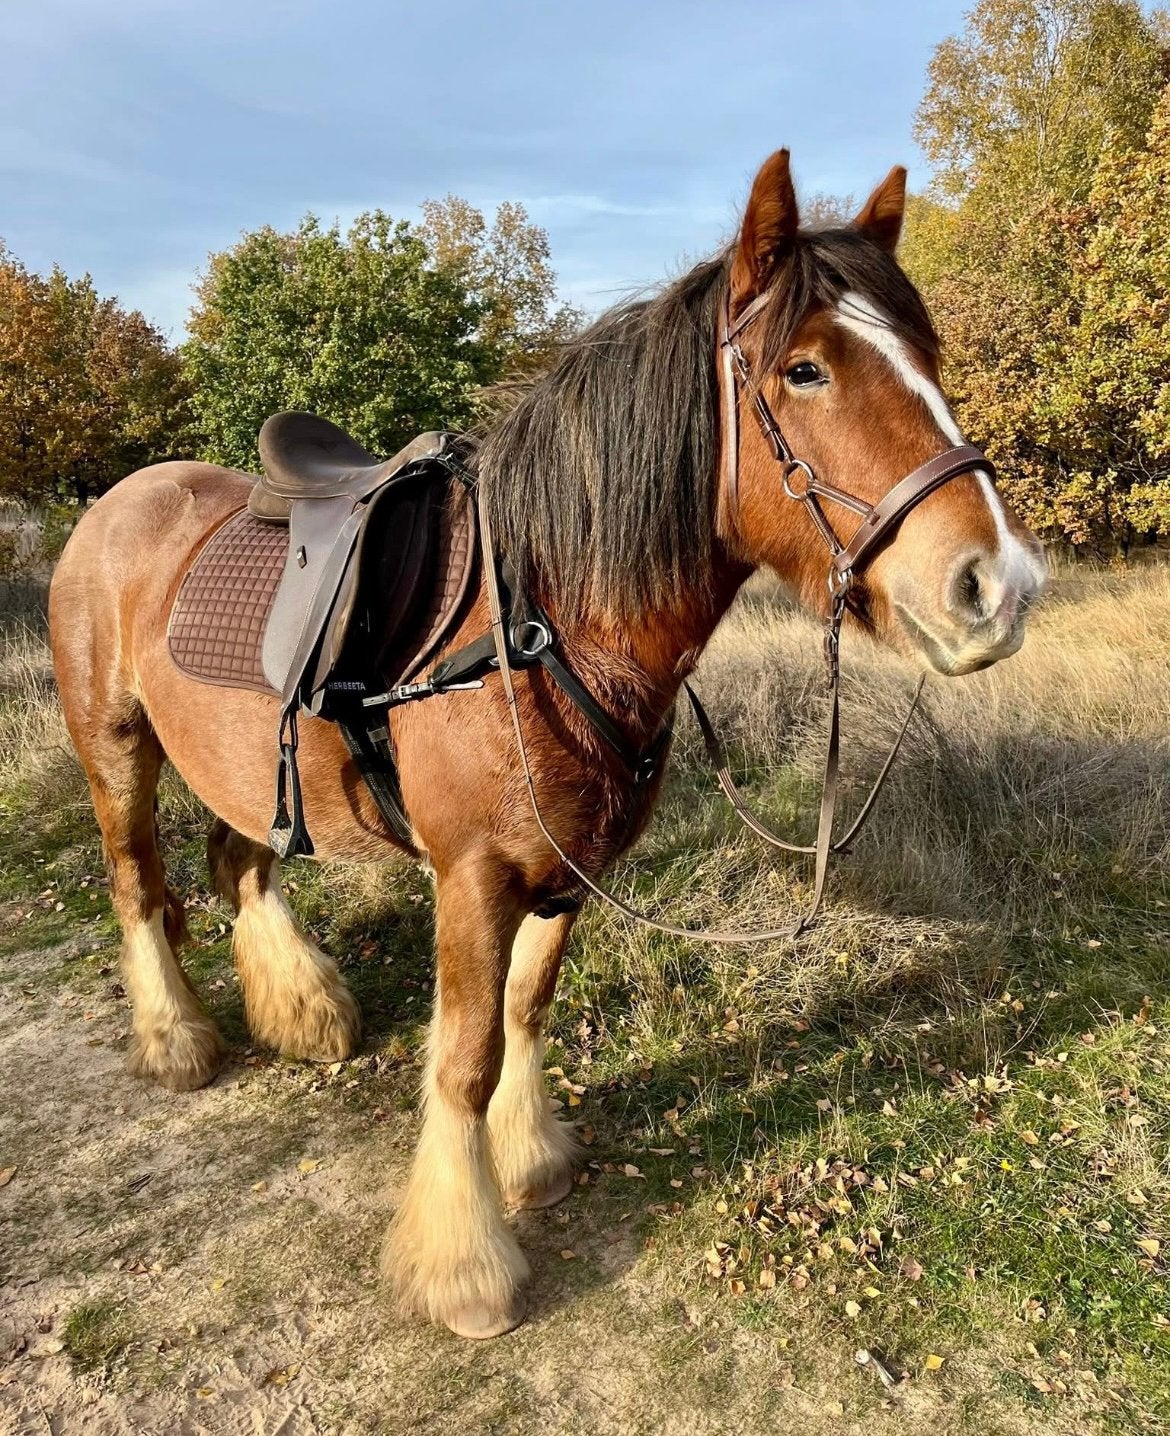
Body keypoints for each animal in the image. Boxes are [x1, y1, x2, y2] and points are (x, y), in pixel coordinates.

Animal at [48, 151, 1048, 1340]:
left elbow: (528, 1010)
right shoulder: (475, 876)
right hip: (116, 746)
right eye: (804, 370)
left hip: (251, 773)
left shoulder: (568, 868)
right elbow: (466, 1058)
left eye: (928, 356)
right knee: (136, 884)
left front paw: (531, 1163)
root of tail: (119, 497)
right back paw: (177, 1041)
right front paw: (464, 1264)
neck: (546, 620)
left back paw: (305, 1012)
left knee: (239, 865)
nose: (996, 585)